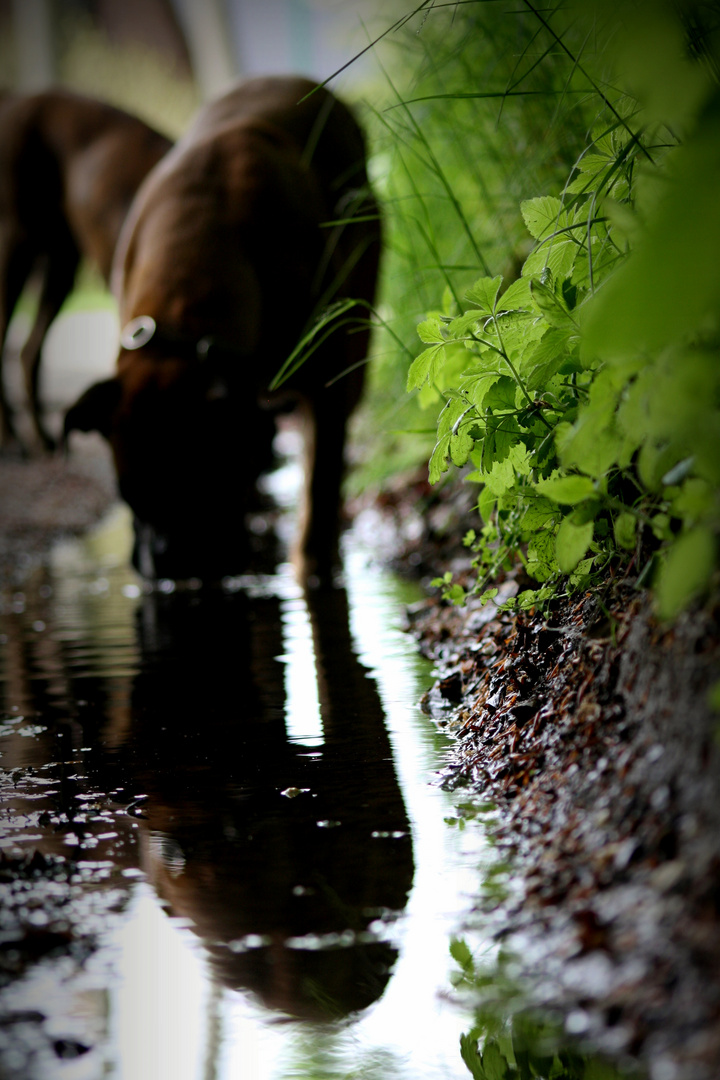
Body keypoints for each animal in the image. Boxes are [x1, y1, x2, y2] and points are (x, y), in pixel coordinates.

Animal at [0, 87, 172, 451]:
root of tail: (18, 98)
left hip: (62, 262)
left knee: (28, 352)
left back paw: (42, 439)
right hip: (15, 244)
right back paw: (10, 437)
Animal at [66, 78, 382, 583]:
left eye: (204, 488)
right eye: (129, 496)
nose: (166, 561)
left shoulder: (327, 390)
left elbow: (321, 483)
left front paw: (314, 563)